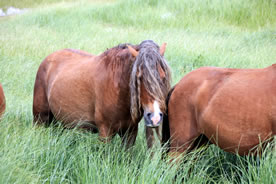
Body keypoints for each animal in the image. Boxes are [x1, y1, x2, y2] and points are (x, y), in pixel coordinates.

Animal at [32, 40, 170, 147]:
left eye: (163, 76)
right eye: (139, 78)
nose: (155, 117)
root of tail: (48, 59)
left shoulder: (130, 131)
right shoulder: (105, 132)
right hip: (40, 120)